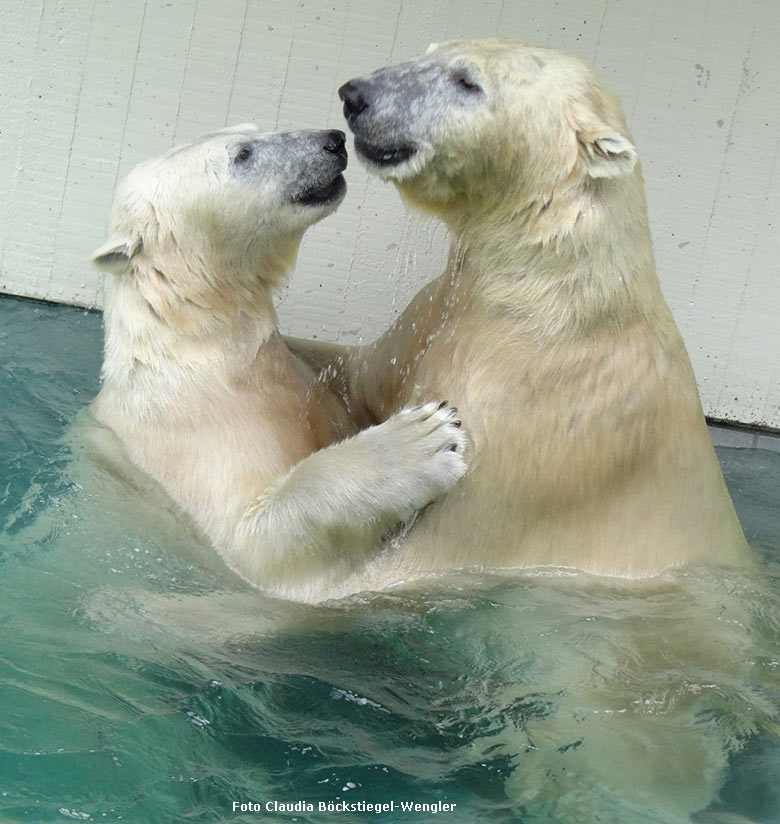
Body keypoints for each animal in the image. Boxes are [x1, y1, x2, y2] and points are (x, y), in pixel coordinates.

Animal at [91, 127, 470, 604]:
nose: (333, 139)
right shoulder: (192, 439)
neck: (204, 347)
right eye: (243, 155)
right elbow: (257, 541)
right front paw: (423, 441)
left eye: (252, 131)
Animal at [298, 35, 756, 584]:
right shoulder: (431, 318)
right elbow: (355, 373)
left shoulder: (523, 440)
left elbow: (411, 560)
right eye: (428, 50)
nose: (356, 95)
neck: (540, 291)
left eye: (468, 80)